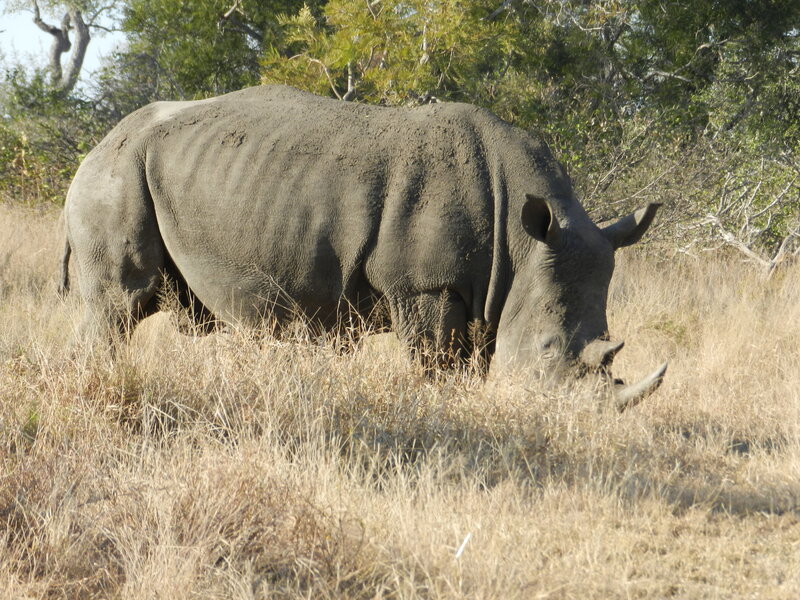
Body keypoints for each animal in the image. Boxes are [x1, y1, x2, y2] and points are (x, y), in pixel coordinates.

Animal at [61, 85, 665, 408]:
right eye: (546, 349)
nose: (581, 422)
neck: (522, 239)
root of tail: (95, 145)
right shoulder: (424, 286)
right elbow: (436, 366)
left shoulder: (488, 288)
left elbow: (472, 362)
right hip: (116, 173)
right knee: (120, 305)